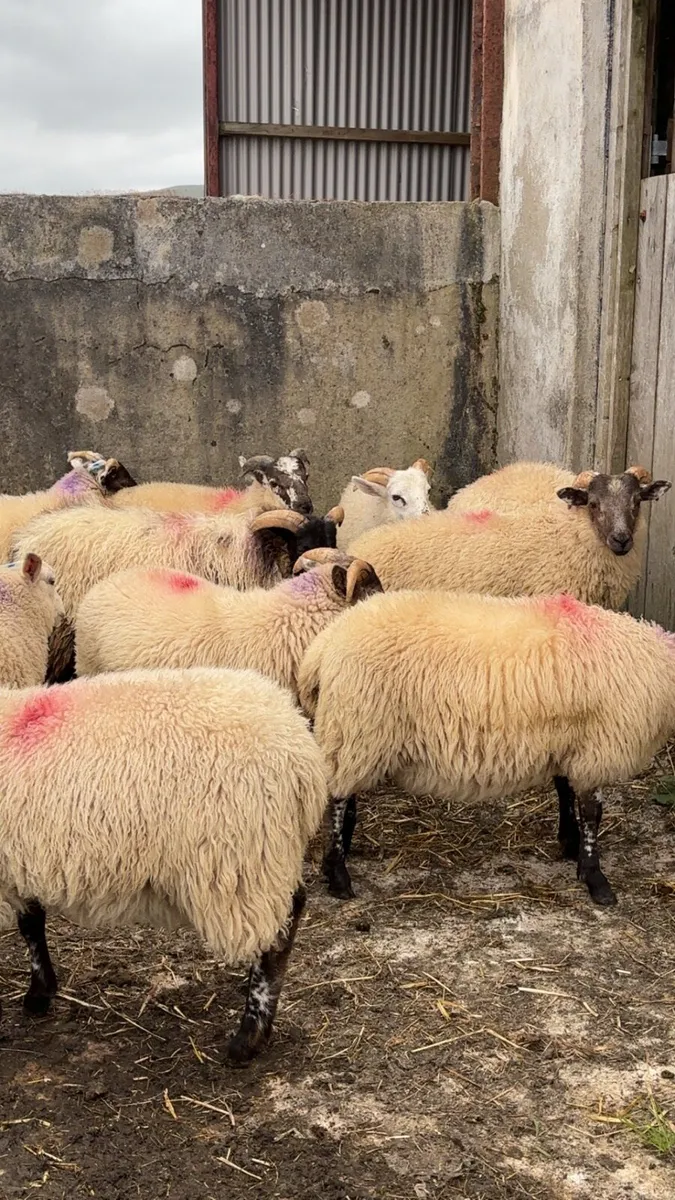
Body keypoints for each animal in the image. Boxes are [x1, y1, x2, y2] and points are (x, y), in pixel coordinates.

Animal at [0, 665, 327, 1062]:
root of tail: (302, 756)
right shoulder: (20, 863)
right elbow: (32, 923)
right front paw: (41, 991)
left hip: (243, 856)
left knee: (277, 936)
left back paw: (249, 1036)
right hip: (265, 854)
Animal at [297, 588, 675, 905]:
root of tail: (322, 648)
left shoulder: (570, 742)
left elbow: (566, 794)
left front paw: (570, 845)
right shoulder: (598, 746)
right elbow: (593, 812)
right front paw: (596, 879)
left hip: (352, 731)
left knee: (344, 795)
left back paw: (341, 852)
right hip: (358, 724)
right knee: (335, 798)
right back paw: (337, 874)